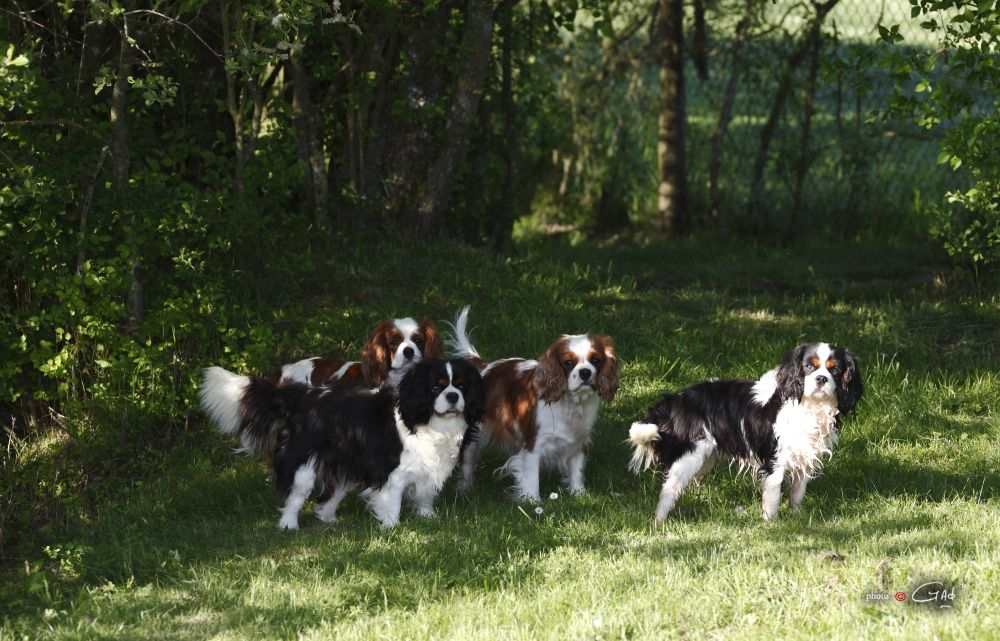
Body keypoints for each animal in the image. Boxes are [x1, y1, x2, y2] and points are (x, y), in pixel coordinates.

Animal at [198, 358, 484, 528]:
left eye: (461, 386)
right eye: (435, 388)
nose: (452, 397)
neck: (430, 421)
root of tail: (299, 398)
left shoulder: (429, 467)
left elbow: (425, 494)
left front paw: (427, 517)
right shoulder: (392, 473)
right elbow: (392, 502)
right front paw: (392, 528)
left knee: (327, 498)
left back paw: (329, 520)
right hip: (303, 469)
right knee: (295, 497)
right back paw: (289, 525)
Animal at [448, 304, 616, 500]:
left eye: (596, 360)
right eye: (568, 363)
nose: (585, 372)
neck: (572, 404)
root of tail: (487, 368)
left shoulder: (579, 442)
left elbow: (577, 470)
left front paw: (579, 494)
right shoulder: (534, 444)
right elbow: (531, 475)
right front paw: (532, 500)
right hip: (476, 432)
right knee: (468, 460)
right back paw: (465, 487)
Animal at [628, 342, 864, 516]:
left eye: (835, 369)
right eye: (809, 367)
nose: (821, 378)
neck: (809, 406)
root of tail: (675, 400)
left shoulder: (804, 456)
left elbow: (797, 493)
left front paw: (797, 518)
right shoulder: (775, 460)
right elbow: (773, 497)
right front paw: (773, 524)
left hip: (706, 458)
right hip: (691, 455)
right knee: (668, 489)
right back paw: (659, 521)